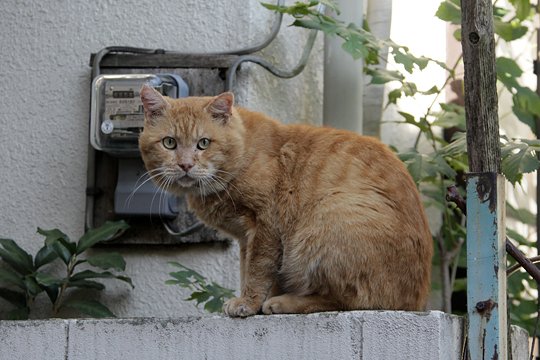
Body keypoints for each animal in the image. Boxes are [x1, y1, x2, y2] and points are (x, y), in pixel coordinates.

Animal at [138, 85, 430, 318]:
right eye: (169, 143)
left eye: (203, 143)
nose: (185, 165)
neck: (243, 154)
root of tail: (414, 302)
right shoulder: (246, 238)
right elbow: (247, 269)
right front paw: (251, 302)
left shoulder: (265, 226)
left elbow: (257, 271)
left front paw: (248, 303)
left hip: (327, 217)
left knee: (351, 299)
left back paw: (284, 303)